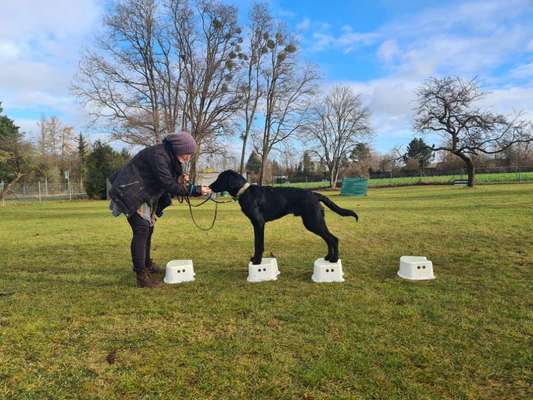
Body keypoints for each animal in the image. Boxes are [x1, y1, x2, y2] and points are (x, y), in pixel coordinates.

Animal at [208, 170, 358, 264]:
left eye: (220, 178)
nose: (209, 186)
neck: (245, 192)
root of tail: (315, 194)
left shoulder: (259, 223)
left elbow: (259, 244)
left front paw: (257, 261)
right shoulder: (256, 225)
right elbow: (257, 243)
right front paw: (255, 259)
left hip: (313, 222)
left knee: (333, 239)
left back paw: (334, 259)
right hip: (316, 222)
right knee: (329, 239)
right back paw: (328, 257)